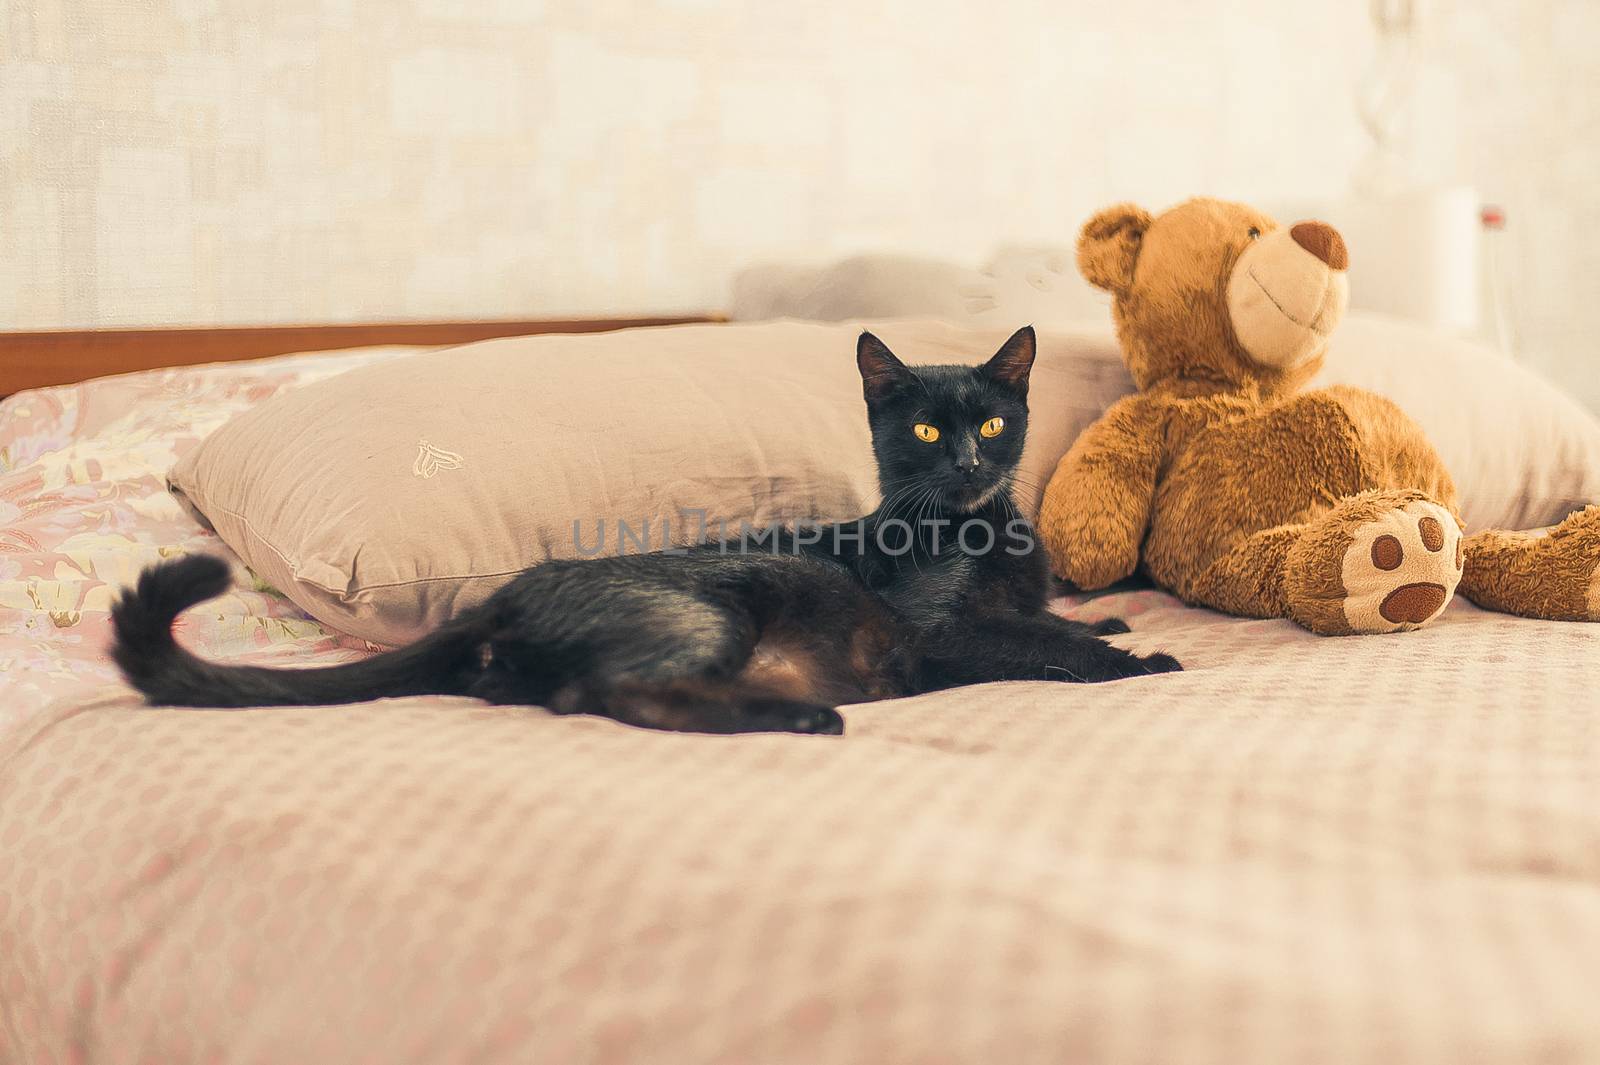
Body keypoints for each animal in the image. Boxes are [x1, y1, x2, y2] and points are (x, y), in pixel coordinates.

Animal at [116, 327, 1177, 735]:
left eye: (992, 426)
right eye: (924, 431)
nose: (967, 464)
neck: (978, 531)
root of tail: (501, 597)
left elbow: (1053, 623)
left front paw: (1106, 621)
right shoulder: (939, 630)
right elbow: (1034, 643)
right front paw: (1141, 658)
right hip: (708, 614)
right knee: (614, 694)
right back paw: (806, 718)